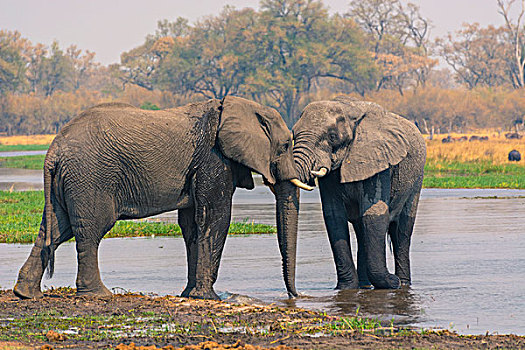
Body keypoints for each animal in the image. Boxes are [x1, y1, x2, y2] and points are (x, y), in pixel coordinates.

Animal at [13, 95, 312, 300]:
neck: (235, 105)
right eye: (286, 145)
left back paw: (25, 293)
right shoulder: (213, 158)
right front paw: (209, 298)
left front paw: (190, 294)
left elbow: (192, 224)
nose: (295, 297)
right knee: (91, 230)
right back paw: (98, 294)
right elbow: (215, 217)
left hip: (69, 181)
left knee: (56, 229)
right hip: (90, 176)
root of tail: (53, 151)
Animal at [274, 95, 426, 296]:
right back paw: (365, 285)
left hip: (417, 179)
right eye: (294, 135)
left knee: (402, 230)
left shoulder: (378, 160)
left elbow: (374, 215)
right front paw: (346, 289)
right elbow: (334, 216)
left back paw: (404, 284)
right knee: (363, 232)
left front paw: (392, 283)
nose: (295, 294)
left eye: (332, 136)